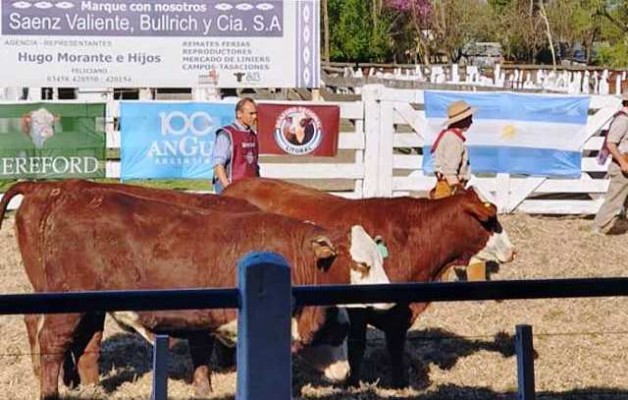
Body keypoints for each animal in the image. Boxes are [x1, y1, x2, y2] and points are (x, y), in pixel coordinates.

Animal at [0, 182, 390, 400]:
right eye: (362, 265)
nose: (346, 375)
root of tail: (59, 194)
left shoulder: (204, 317)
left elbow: (201, 352)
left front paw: (204, 390)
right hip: (65, 305)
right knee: (51, 343)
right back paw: (49, 391)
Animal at [224, 177, 516, 388]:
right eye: (490, 220)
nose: (512, 251)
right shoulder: (357, 310)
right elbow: (356, 346)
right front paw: (353, 382)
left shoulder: (400, 312)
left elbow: (396, 346)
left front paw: (399, 383)